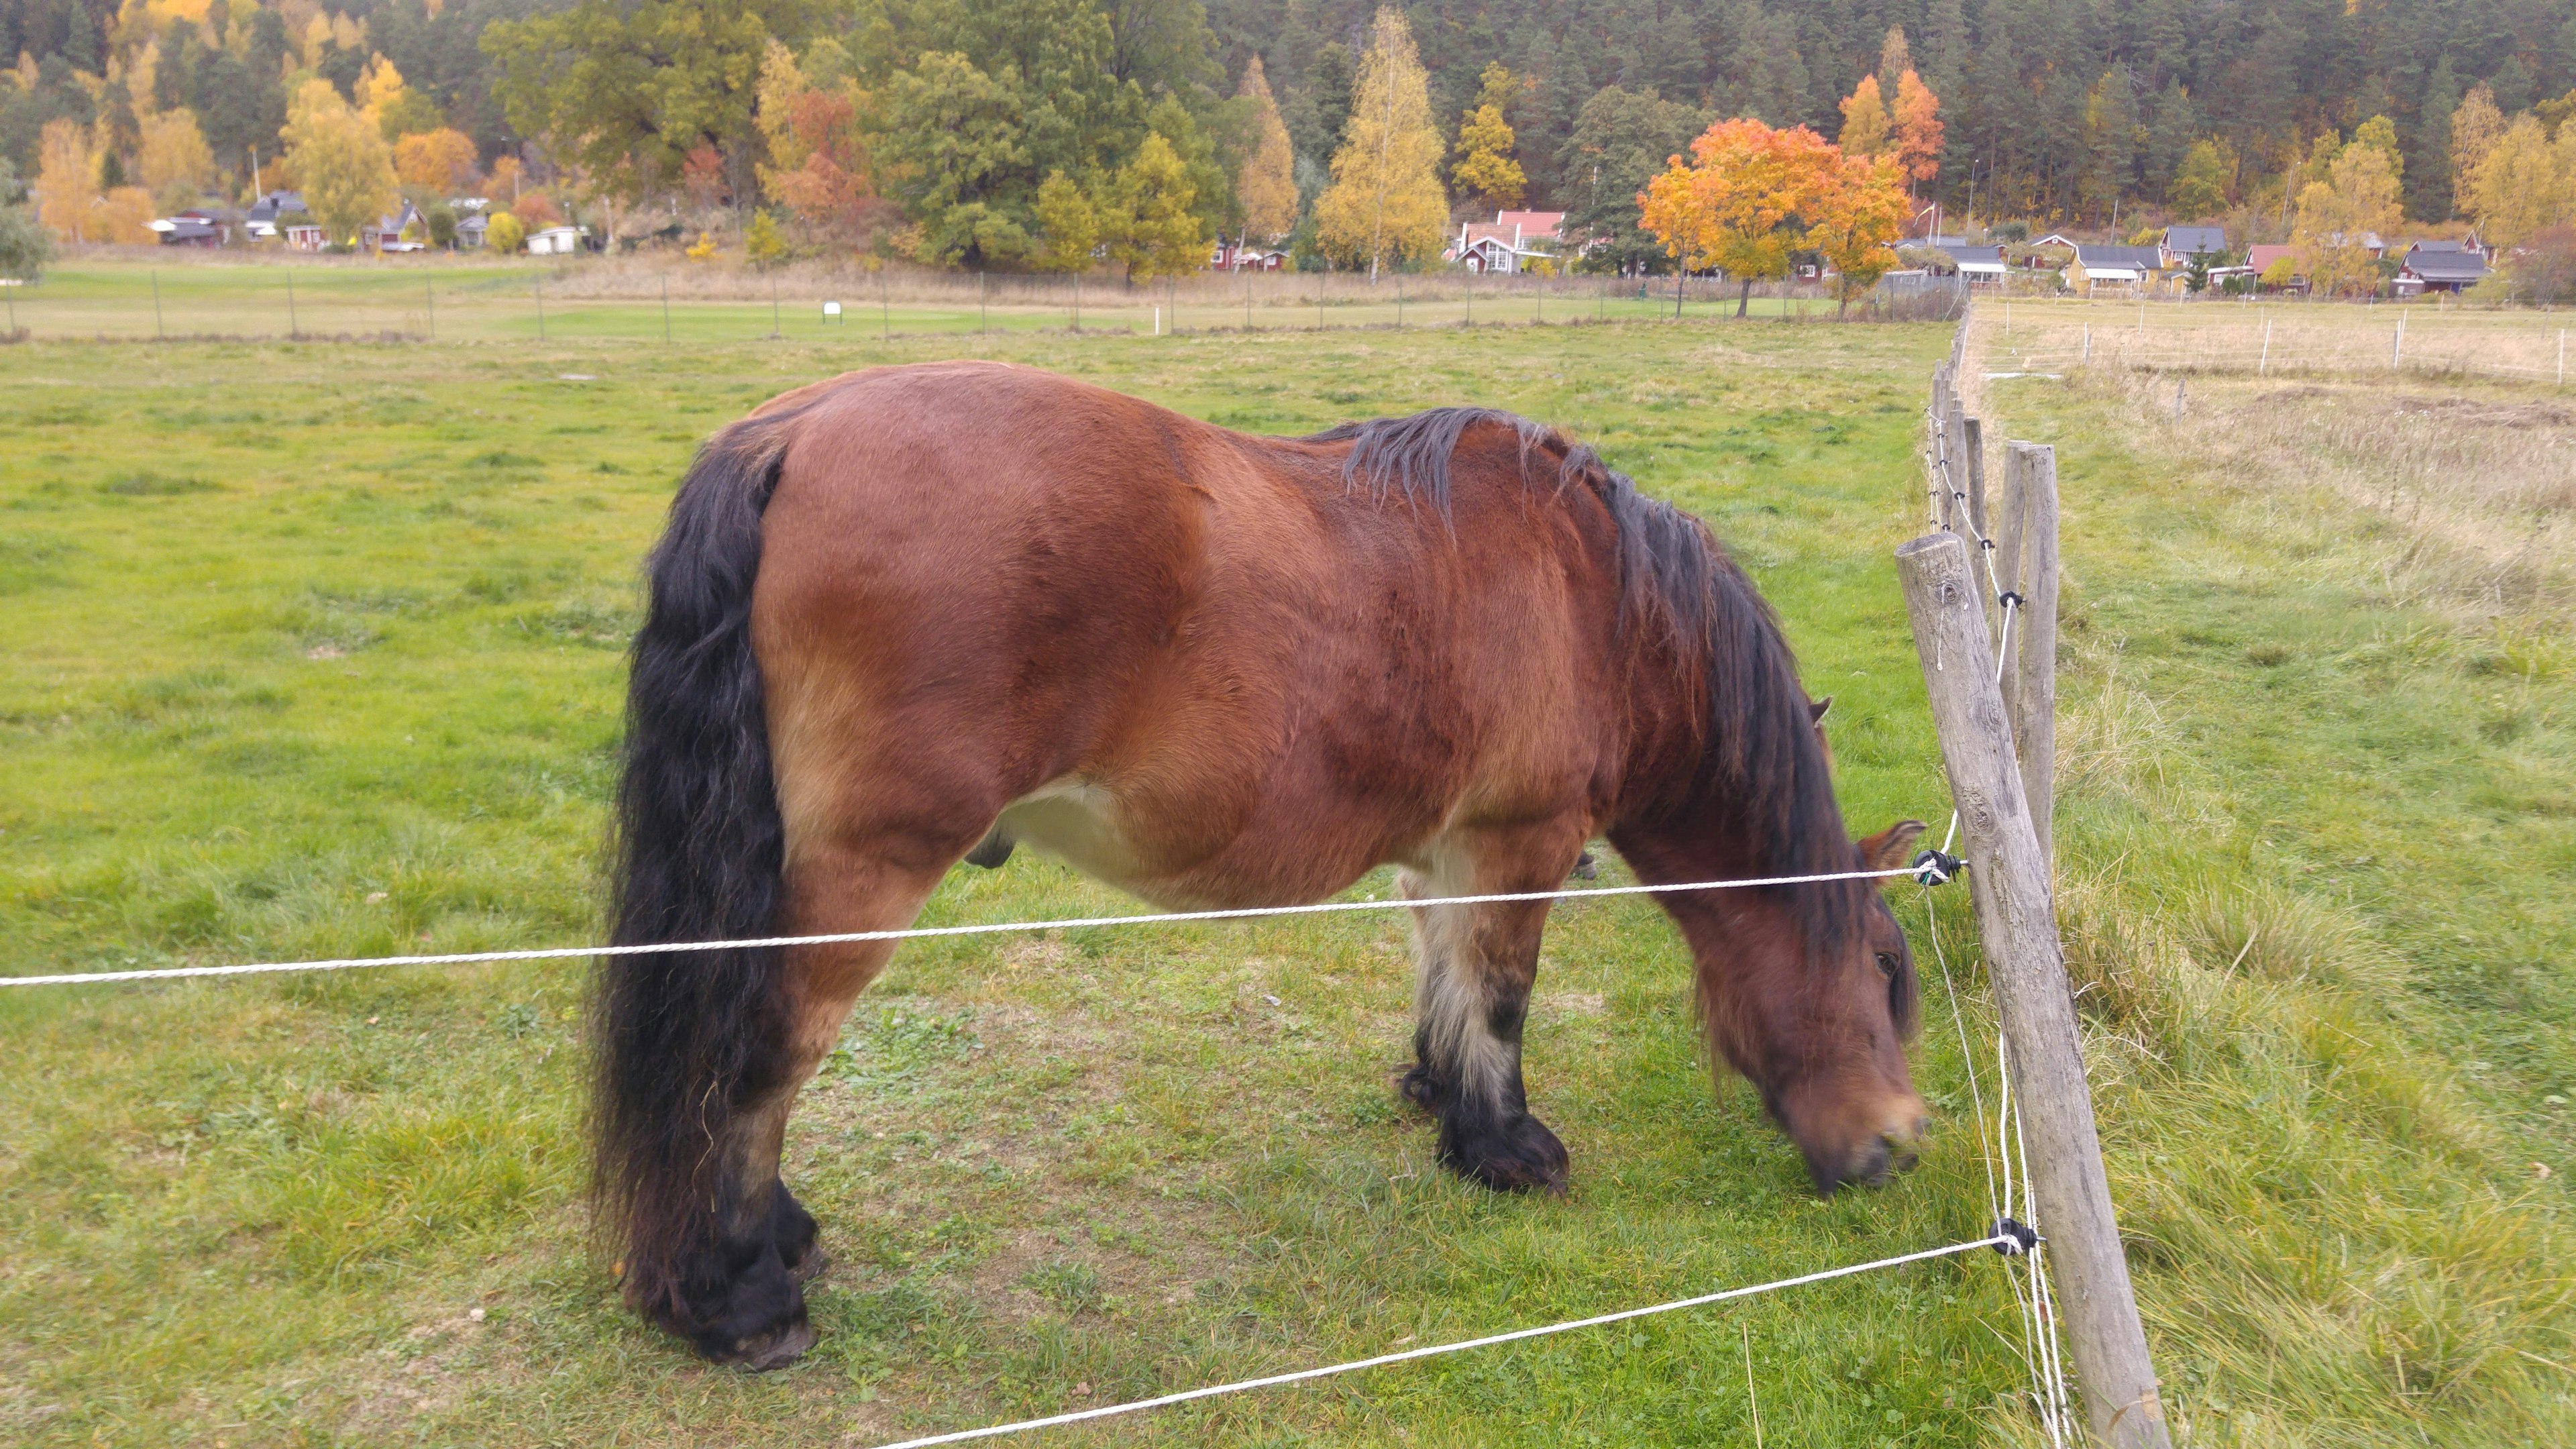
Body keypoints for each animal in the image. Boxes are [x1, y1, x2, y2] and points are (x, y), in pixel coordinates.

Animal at [602, 361, 1927, 1361]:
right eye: (1880, 964)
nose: (1897, 1146)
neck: (1594, 592)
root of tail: (790, 433)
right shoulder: (1522, 839)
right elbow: (1502, 996)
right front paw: (1507, 1150)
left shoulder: (1445, 847)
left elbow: (1444, 977)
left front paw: (1444, 1102)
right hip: (861, 878)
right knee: (762, 1059)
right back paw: (742, 1295)